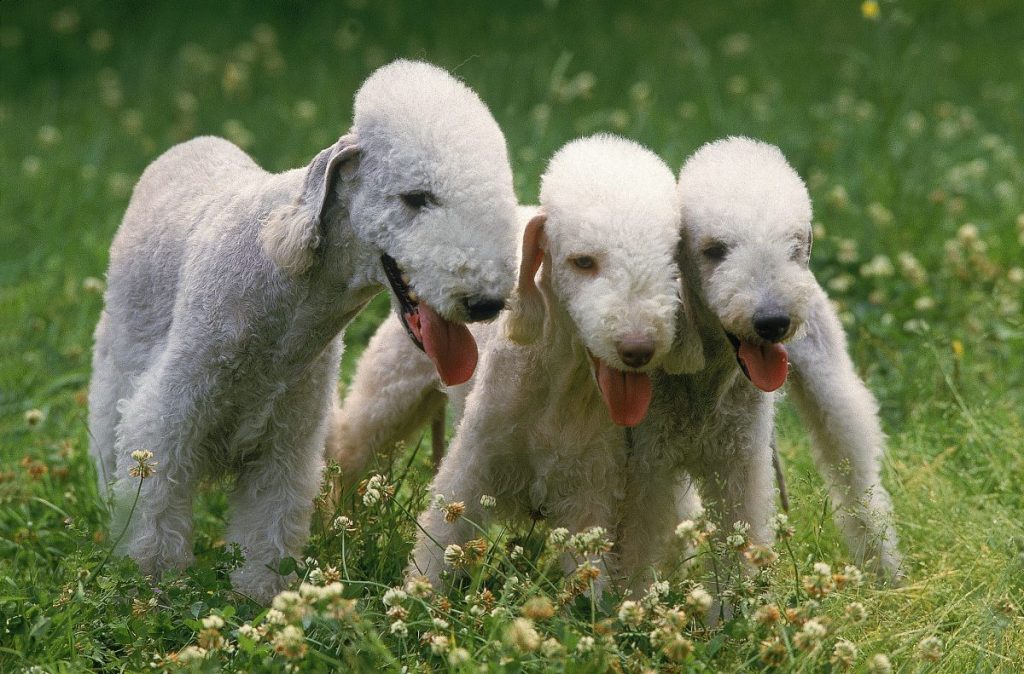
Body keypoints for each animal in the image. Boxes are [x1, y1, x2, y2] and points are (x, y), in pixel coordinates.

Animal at [86, 60, 520, 602]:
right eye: (416, 198)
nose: (486, 303)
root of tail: (187, 147)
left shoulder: (287, 444)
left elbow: (267, 531)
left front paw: (258, 601)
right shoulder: (168, 421)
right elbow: (156, 522)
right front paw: (153, 595)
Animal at [399, 135, 704, 590]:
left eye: (670, 260)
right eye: (583, 261)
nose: (638, 349)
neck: (564, 384)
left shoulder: (591, 489)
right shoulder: (473, 465)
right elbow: (437, 544)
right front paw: (414, 600)